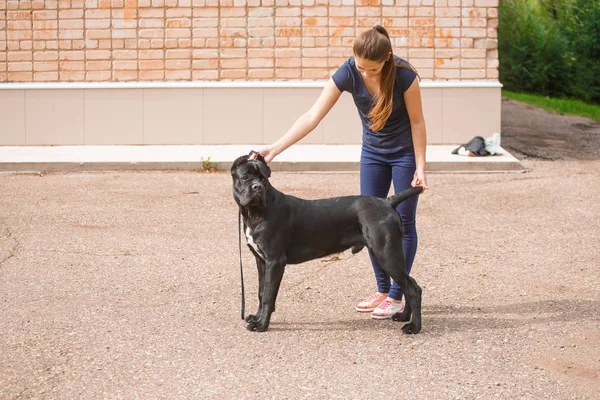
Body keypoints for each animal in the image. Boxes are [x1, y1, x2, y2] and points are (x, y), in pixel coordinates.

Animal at [232, 152, 424, 332]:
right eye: (245, 177)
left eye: (263, 179)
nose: (257, 187)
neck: (255, 213)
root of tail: (387, 202)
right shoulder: (261, 261)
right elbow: (261, 291)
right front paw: (256, 317)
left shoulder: (275, 261)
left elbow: (268, 295)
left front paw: (261, 324)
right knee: (407, 284)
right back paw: (404, 316)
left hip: (386, 254)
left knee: (412, 288)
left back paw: (413, 327)